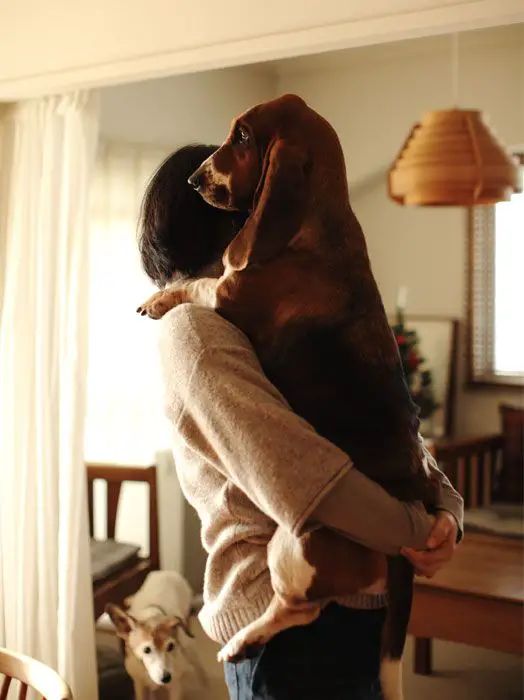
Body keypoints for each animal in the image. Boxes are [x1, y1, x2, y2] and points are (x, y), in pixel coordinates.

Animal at [137, 94, 436, 700]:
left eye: (243, 137)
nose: (196, 179)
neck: (314, 227)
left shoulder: (226, 294)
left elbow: (194, 285)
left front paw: (159, 299)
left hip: (294, 546)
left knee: (300, 608)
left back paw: (240, 641)